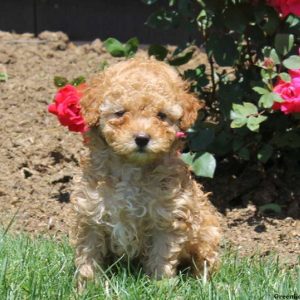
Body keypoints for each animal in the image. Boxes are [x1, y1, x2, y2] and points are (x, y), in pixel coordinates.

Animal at [72, 56, 221, 286]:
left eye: (161, 115)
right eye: (120, 113)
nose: (142, 138)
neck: (131, 168)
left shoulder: (167, 219)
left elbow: (162, 256)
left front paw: (161, 285)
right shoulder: (90, 213)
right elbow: (88, 254)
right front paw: (87, 285)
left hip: (206, 233)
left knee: (205, 261)